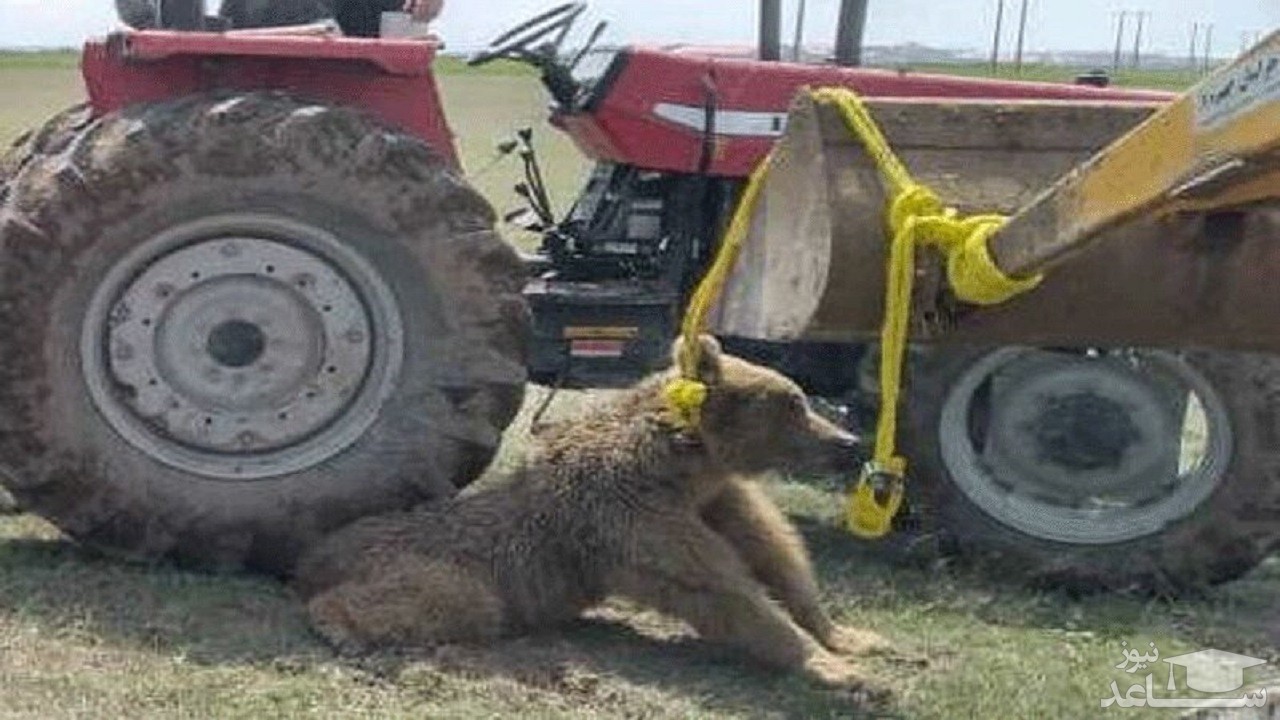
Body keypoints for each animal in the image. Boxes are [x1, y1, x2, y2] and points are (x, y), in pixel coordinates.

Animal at [294, 335, 885, 681]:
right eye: (793, 402)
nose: (849, 442)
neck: (682, 465)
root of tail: (315, 551)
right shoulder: (633, 515)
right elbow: (722, 589)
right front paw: (830, 666)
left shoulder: (716, 501)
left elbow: (778, 557)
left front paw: (850, 639)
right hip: (431, 563)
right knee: (455, 602)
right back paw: (338, 625)